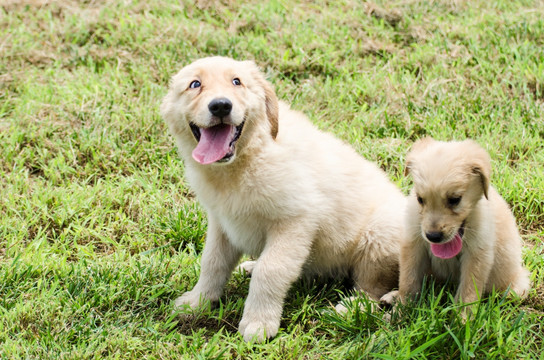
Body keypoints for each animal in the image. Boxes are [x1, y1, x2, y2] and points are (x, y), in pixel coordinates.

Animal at [380, 139, 528, 308]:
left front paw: (463, 315)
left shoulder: (477, 254)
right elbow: (408, 280)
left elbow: (468, 292)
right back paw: (393, 296)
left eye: (455, 200)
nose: (433, 236)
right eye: (420, 199)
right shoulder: (413, 243)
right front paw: (402, 306)